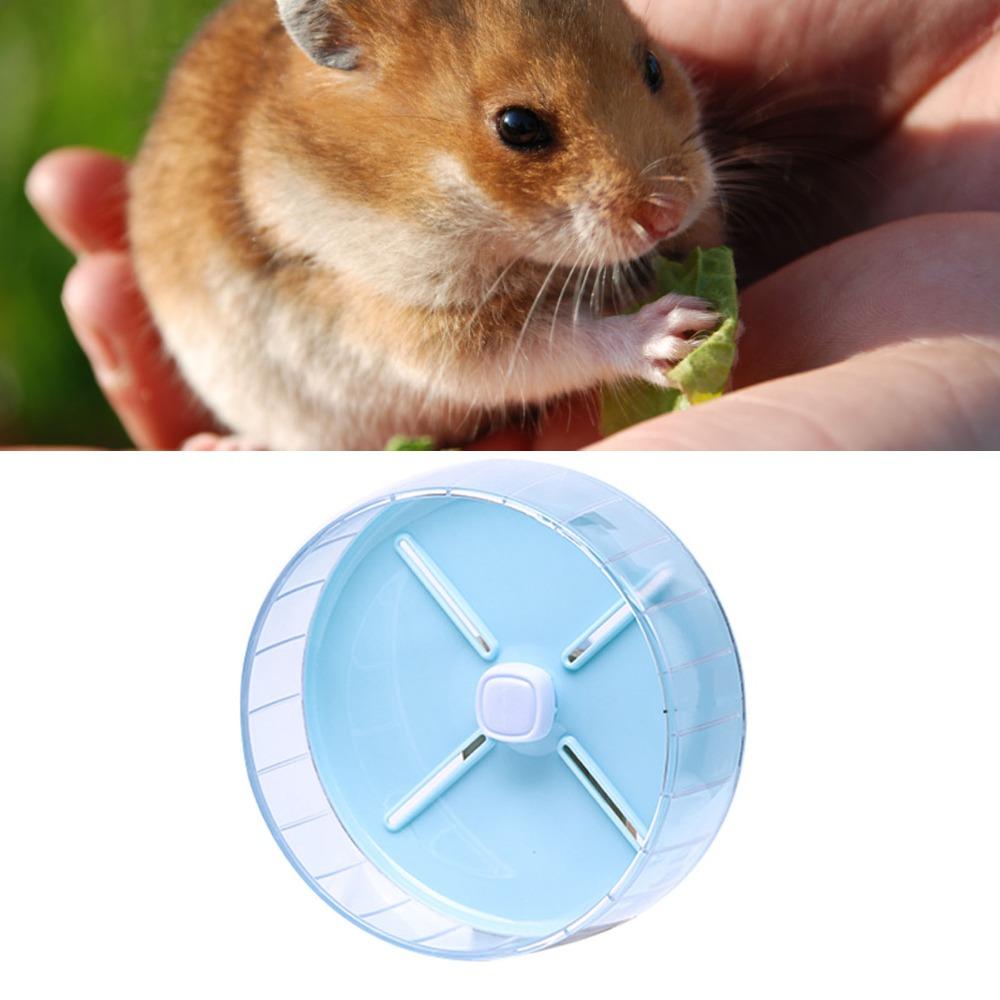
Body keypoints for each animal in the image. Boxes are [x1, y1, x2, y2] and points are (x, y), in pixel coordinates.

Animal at [130, 0, 723, 449]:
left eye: (653, 67)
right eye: (518, 125)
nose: (669, 214)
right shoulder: (423, 329)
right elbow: (561, 343)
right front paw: (681, 329)